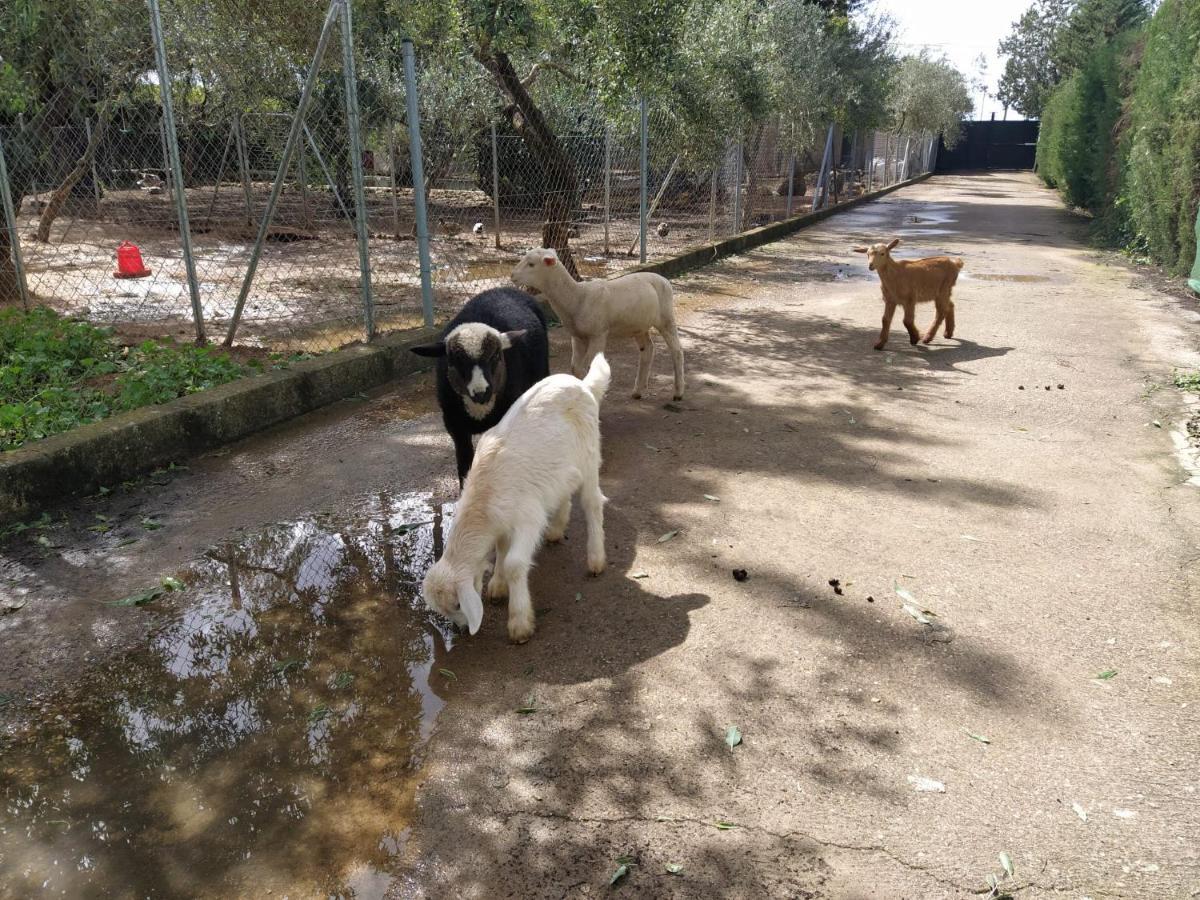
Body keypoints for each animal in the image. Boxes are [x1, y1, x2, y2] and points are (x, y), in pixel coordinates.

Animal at [410, 289, 547, 487]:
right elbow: (464, 466)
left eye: (495, 356)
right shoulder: (455, 428)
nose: (481, 392)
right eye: (454, 360)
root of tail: (502, 289)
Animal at [420, 355, 609, 643]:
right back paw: (556, 530)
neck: (484, 499)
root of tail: (583, 384)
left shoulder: (528, 517)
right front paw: (497, 586)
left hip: (589, 454)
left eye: (457, 604)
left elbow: (514, 564)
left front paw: (519, 622)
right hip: (560, 469)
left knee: (592, 503)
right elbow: (500, 549)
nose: (462, 630)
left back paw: (596, 559)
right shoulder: (501, 522)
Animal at [513, 248, 686, 400]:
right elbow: (576, 368)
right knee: (648, 349)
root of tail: (663, 279)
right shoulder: (577, 337)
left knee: (676, 350)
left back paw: (678, 392)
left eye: (531, 264)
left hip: (666, 317)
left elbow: (588, 365)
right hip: (639, 325)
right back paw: (637, 391)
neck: (577, 297)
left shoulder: (599, 334)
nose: (512, 275)